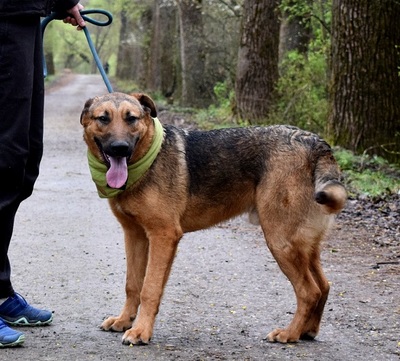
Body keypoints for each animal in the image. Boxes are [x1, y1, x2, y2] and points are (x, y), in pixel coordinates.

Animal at [79, 91, 346, 344]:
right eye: (103, 118)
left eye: (131, 118)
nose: (120, 148)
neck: (145, 162)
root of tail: (314, 142)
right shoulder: (135, 236)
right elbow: (133, 285)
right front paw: (125, 320)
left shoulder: (163, 236)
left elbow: (149, 289)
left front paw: (141, 331)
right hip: (304, 245)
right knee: (323, 286)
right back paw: (307, 331)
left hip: (281, 241)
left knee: (309, 292)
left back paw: (289, 334)